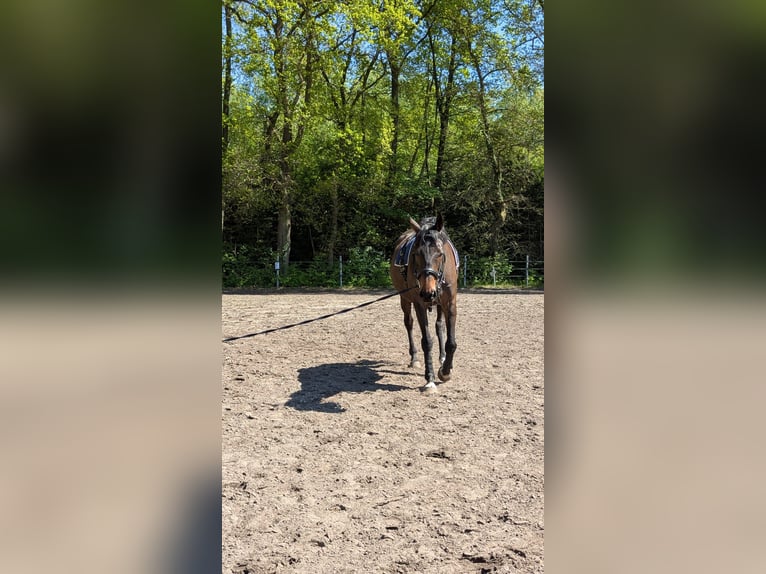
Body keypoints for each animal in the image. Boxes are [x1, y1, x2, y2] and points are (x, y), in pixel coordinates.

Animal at [390, 214, 459, 390]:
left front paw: (445, 371)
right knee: (408, 323)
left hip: (439, 303)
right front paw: (430, 378)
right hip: (405, 299)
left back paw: (442, 357)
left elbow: (451, 342)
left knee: (439, 325)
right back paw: (414, 358)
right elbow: (427, 341)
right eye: (416, 254)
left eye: (440, 253)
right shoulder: (418, 304)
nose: (428, 292)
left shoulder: (450, 303)